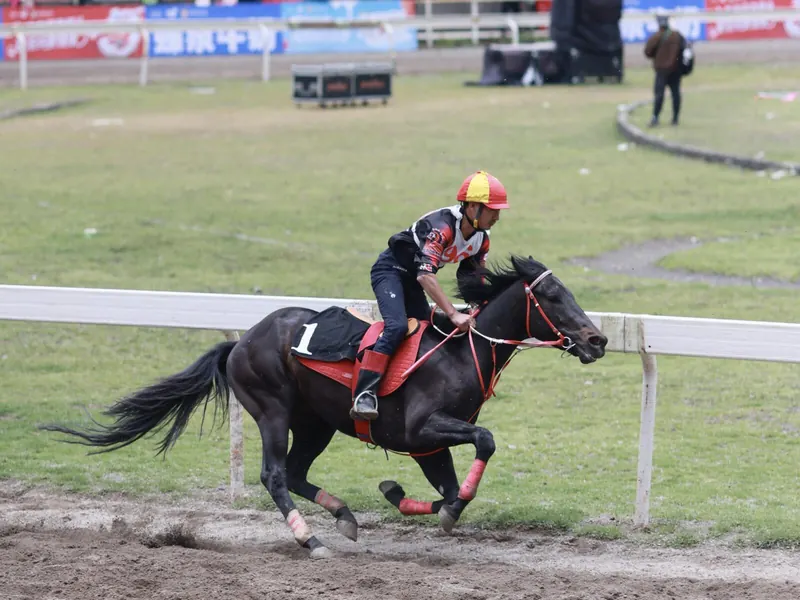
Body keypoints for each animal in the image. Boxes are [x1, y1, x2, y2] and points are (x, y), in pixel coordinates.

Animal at [41, 255, 608, 559]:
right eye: (553, 297)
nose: (598, 339)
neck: (457, 351)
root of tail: (240, 343)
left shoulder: (427, 445)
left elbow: (448, 490)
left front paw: (404, 496)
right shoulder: (422, 430)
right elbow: (484, 443)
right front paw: (433, 506)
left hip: (317, 424)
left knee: (294, 472)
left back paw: (343, 516)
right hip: (272, 410)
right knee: (273, 474)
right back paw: (310, 538)